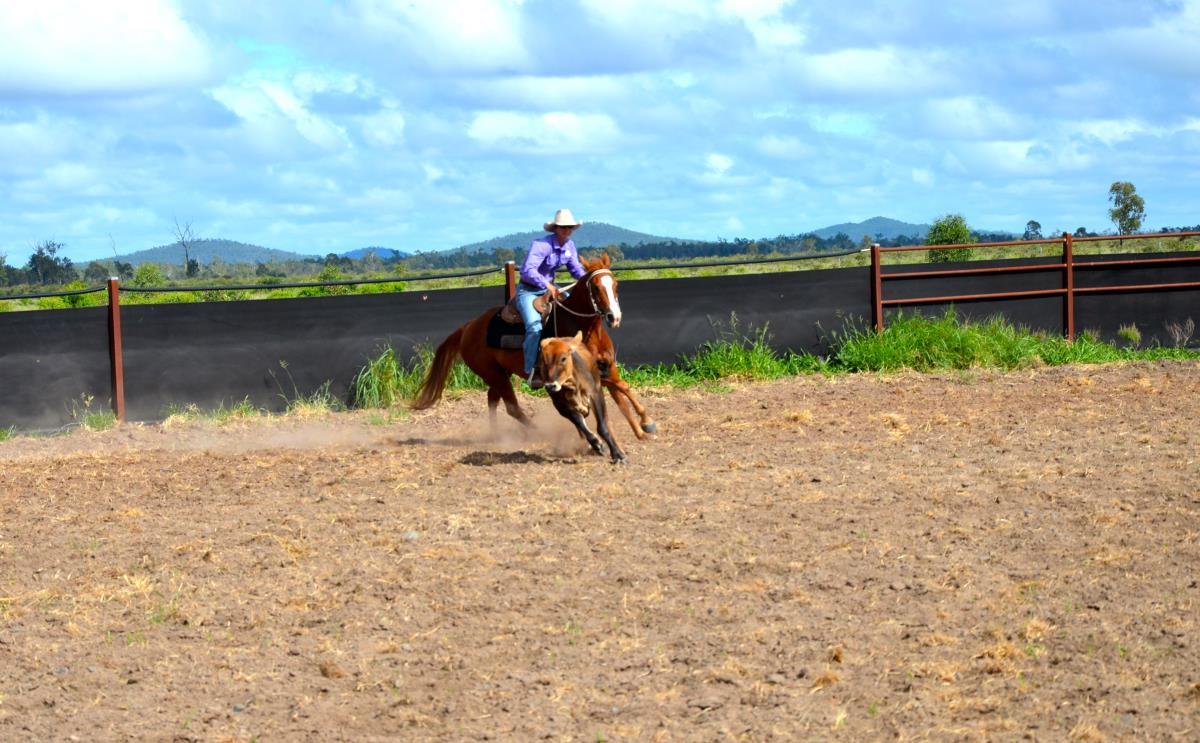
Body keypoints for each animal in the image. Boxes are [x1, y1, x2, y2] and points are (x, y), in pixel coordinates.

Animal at [412, 253, 657, 438]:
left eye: (615, 284)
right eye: (595, 288)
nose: (614, 317)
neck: (583, 328)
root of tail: (469, 326)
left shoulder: (607, 367)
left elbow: (621, 391)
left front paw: (642, 428)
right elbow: (621, 387)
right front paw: (646, 423)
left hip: (500, 373)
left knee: (492, 399)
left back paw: (496, 434)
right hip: (493, 374)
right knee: (511, 407)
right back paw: (537, 432)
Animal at [537, 332, 625, 464]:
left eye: (563, 358)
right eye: (543, 360)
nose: (550, 386)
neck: (573, 385)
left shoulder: (595, 394)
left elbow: (602, 427)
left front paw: (618, 455)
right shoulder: (560, 406)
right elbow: (579, 423)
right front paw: (597, 444)